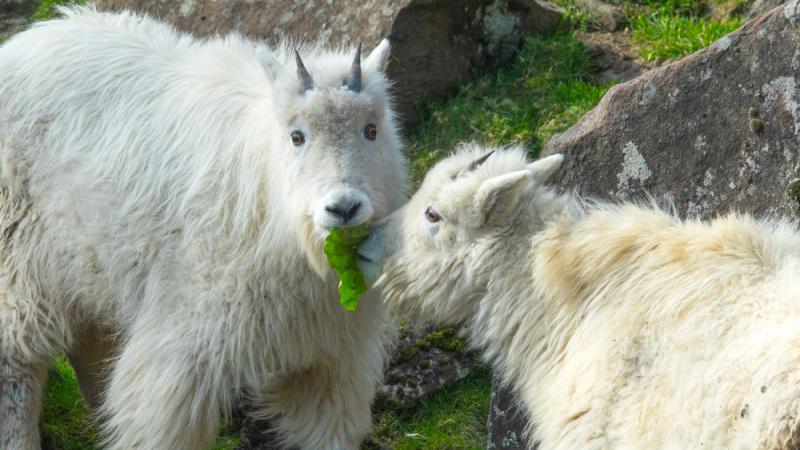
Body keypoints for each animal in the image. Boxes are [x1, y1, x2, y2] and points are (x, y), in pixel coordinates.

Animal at [1, 4, 406, 450]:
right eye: (297, 135)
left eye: (371, 129)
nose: (343, 208)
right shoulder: (186, 337)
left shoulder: (329, 357)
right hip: (18, 263)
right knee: (15, 363)